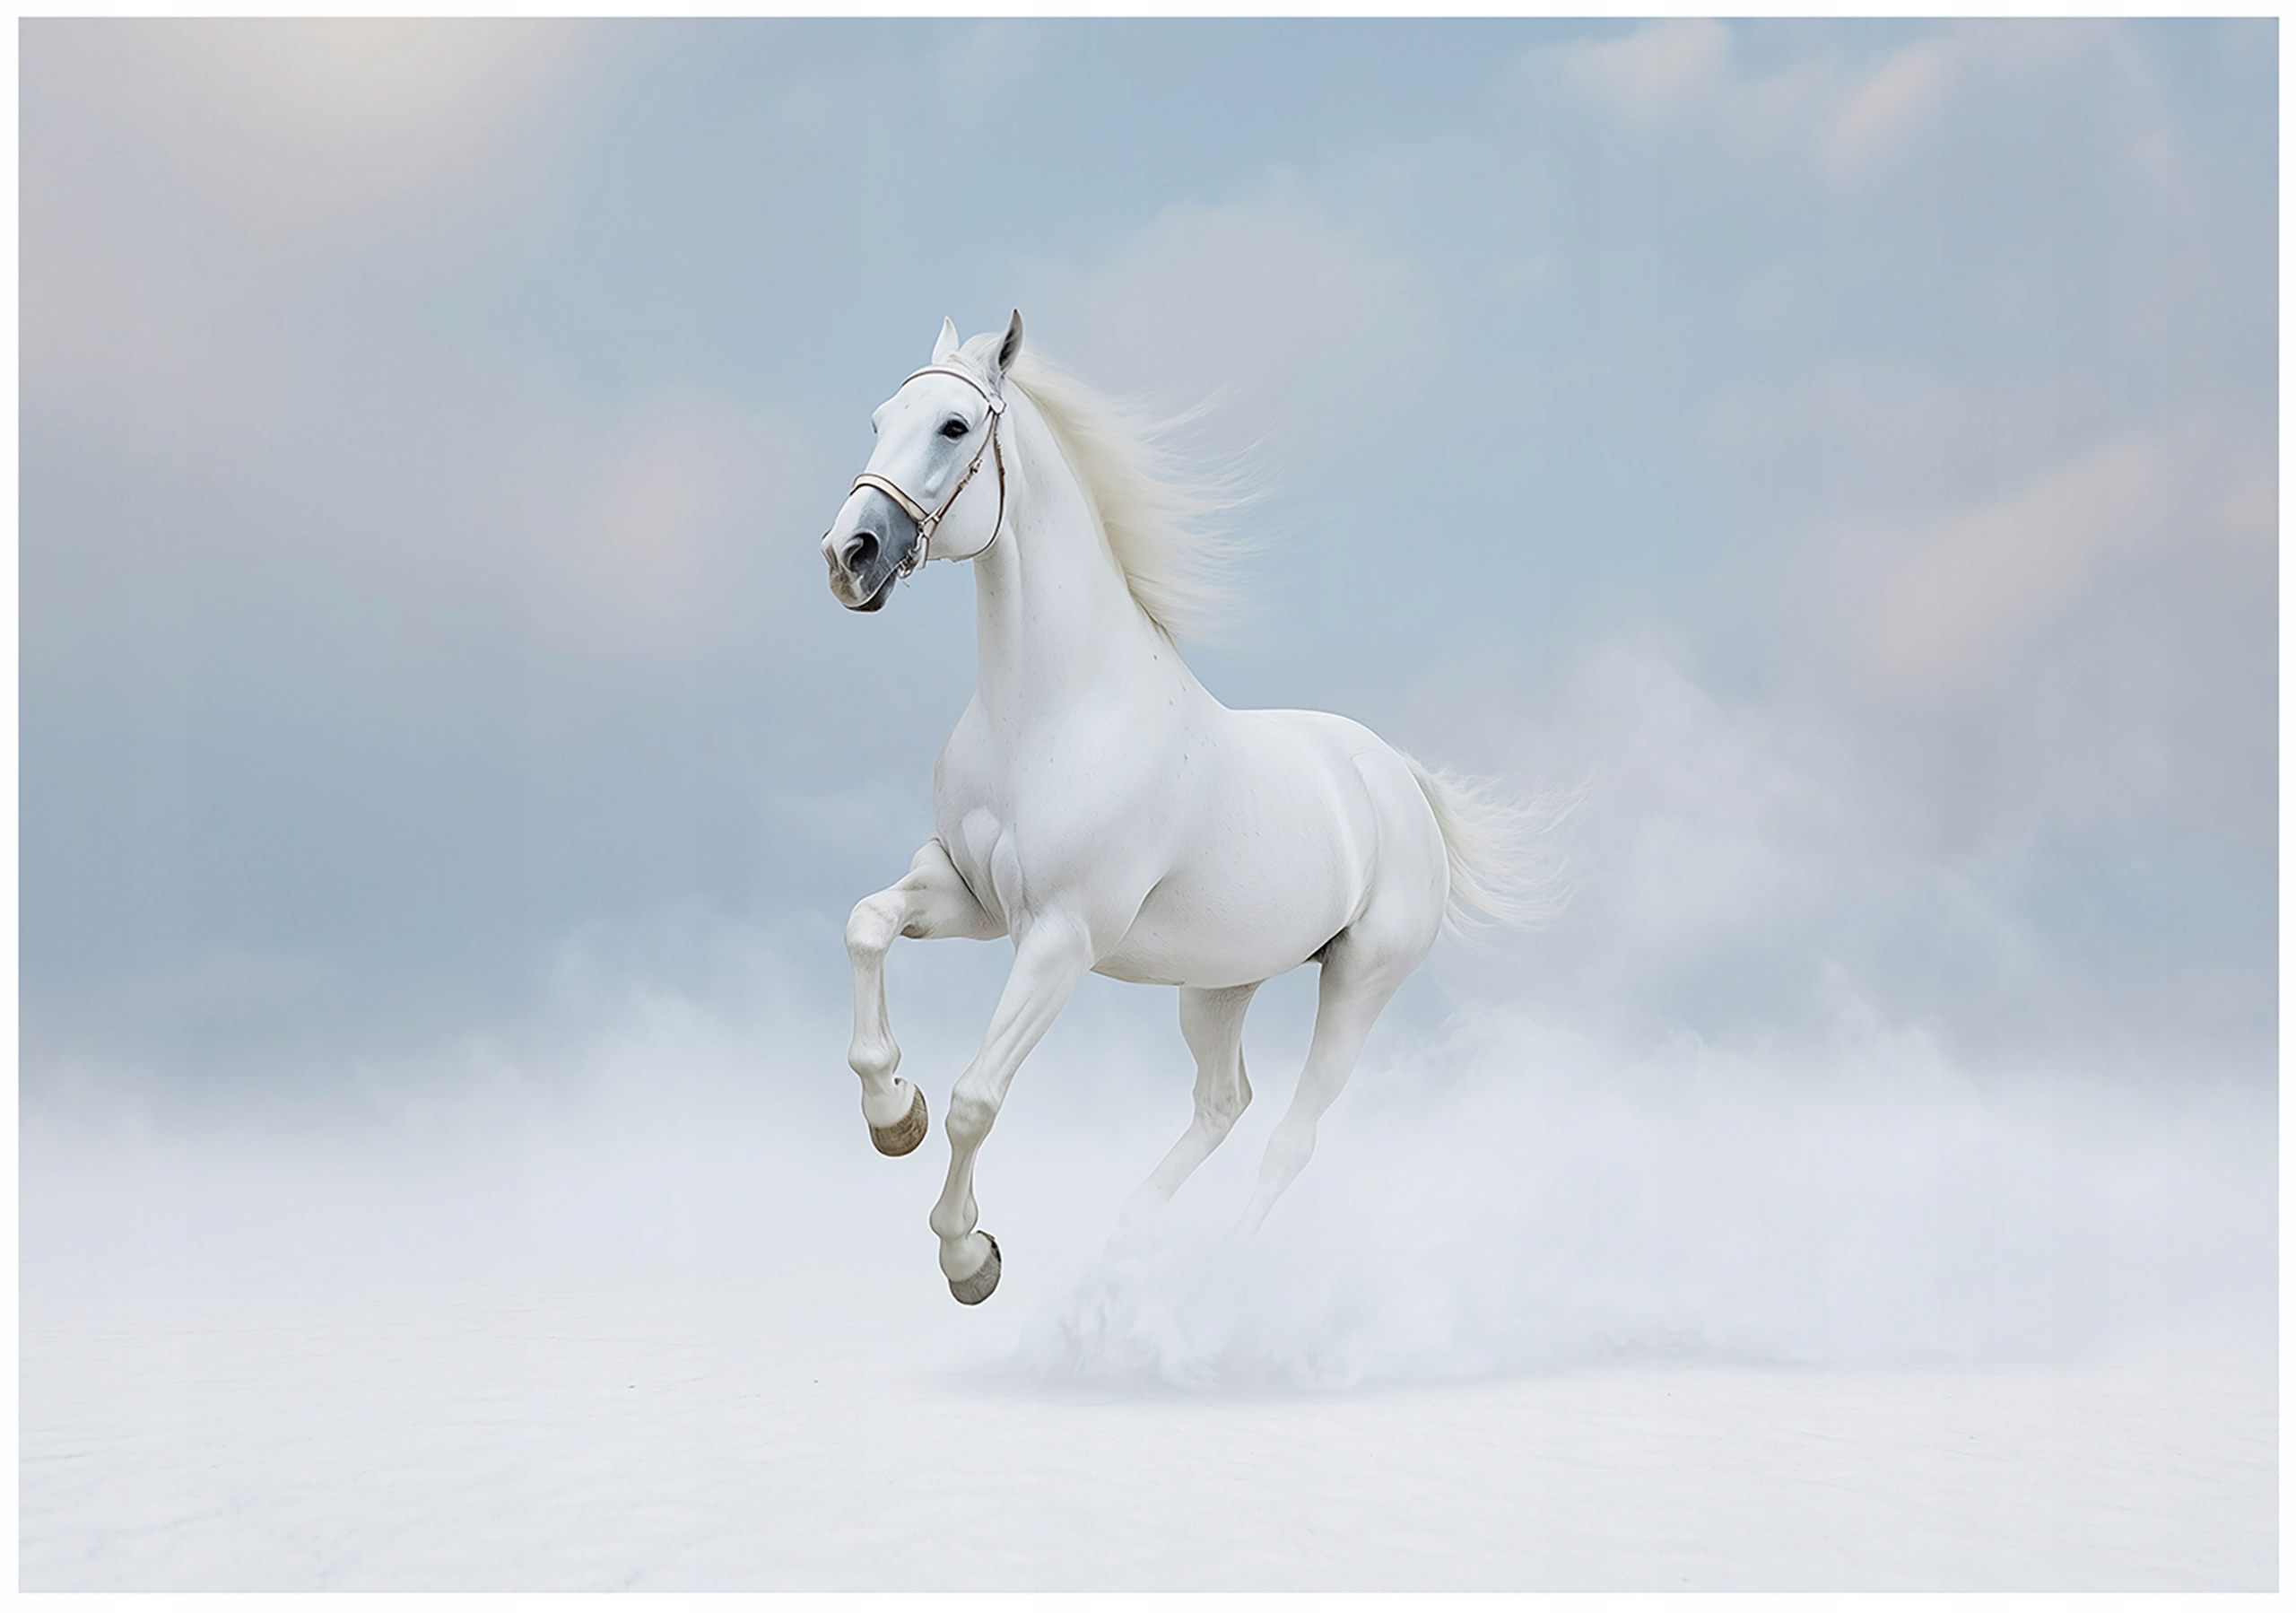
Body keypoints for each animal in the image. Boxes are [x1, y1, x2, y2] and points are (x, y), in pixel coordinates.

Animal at [819, 312, 1546, 1305]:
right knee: (1222, 1101)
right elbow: (866, 926)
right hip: (1218, 984)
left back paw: (1221, 1276)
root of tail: (1398, 779)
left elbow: (976, 1099)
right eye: (880, 418)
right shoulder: (968, 896)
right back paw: (1127, 1241)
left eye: (954, 427)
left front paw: (969, 1256)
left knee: (1291, 1135)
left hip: (1359, 984)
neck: (1051, 708)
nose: (847, 557)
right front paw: (894, 1112)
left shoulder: (1059, 936)